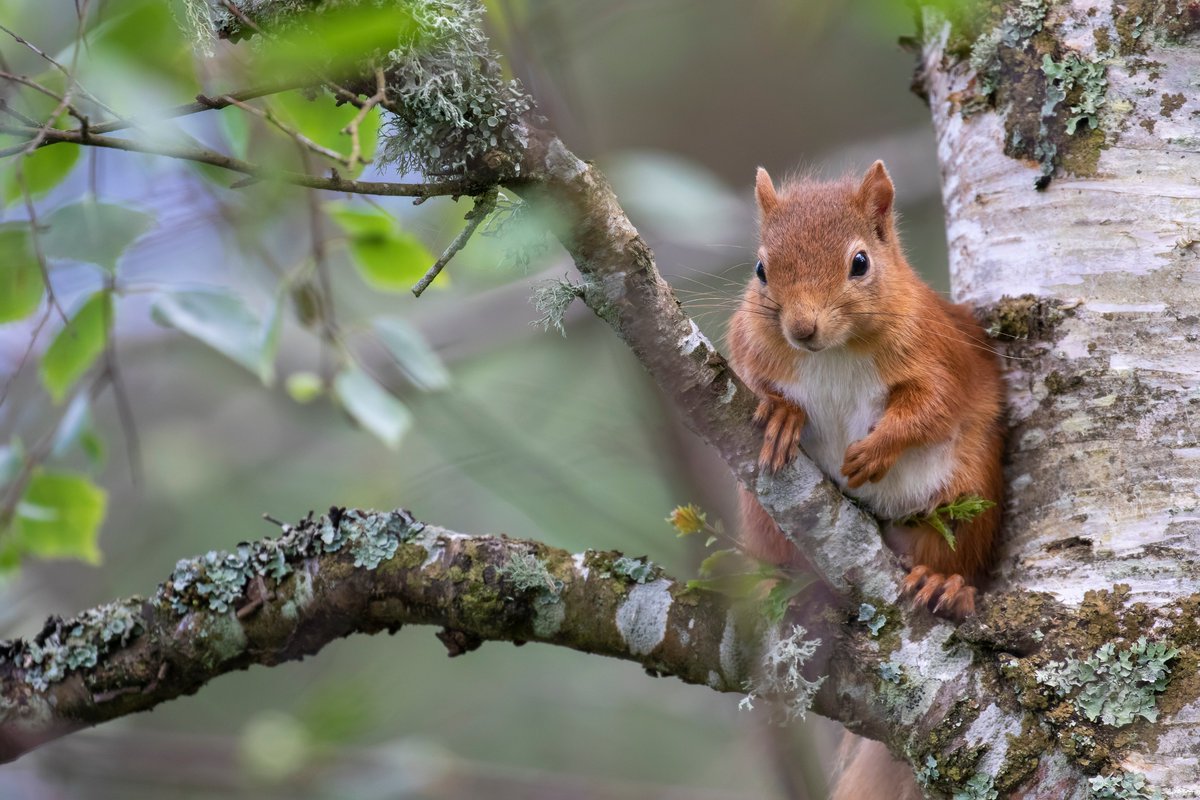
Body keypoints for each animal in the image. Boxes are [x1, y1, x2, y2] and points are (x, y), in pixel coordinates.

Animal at [729, 159, 1003, 618]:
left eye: (860, 262)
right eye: (760, 271)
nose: (801, 329)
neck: (835, 351)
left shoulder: (939, 353)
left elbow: (935, 404)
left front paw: (877, 449)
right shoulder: (747, 339)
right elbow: (748, 378)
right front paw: (783, 412)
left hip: (971, 492)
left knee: (952, 548)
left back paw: (944, 584)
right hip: (760, 512)